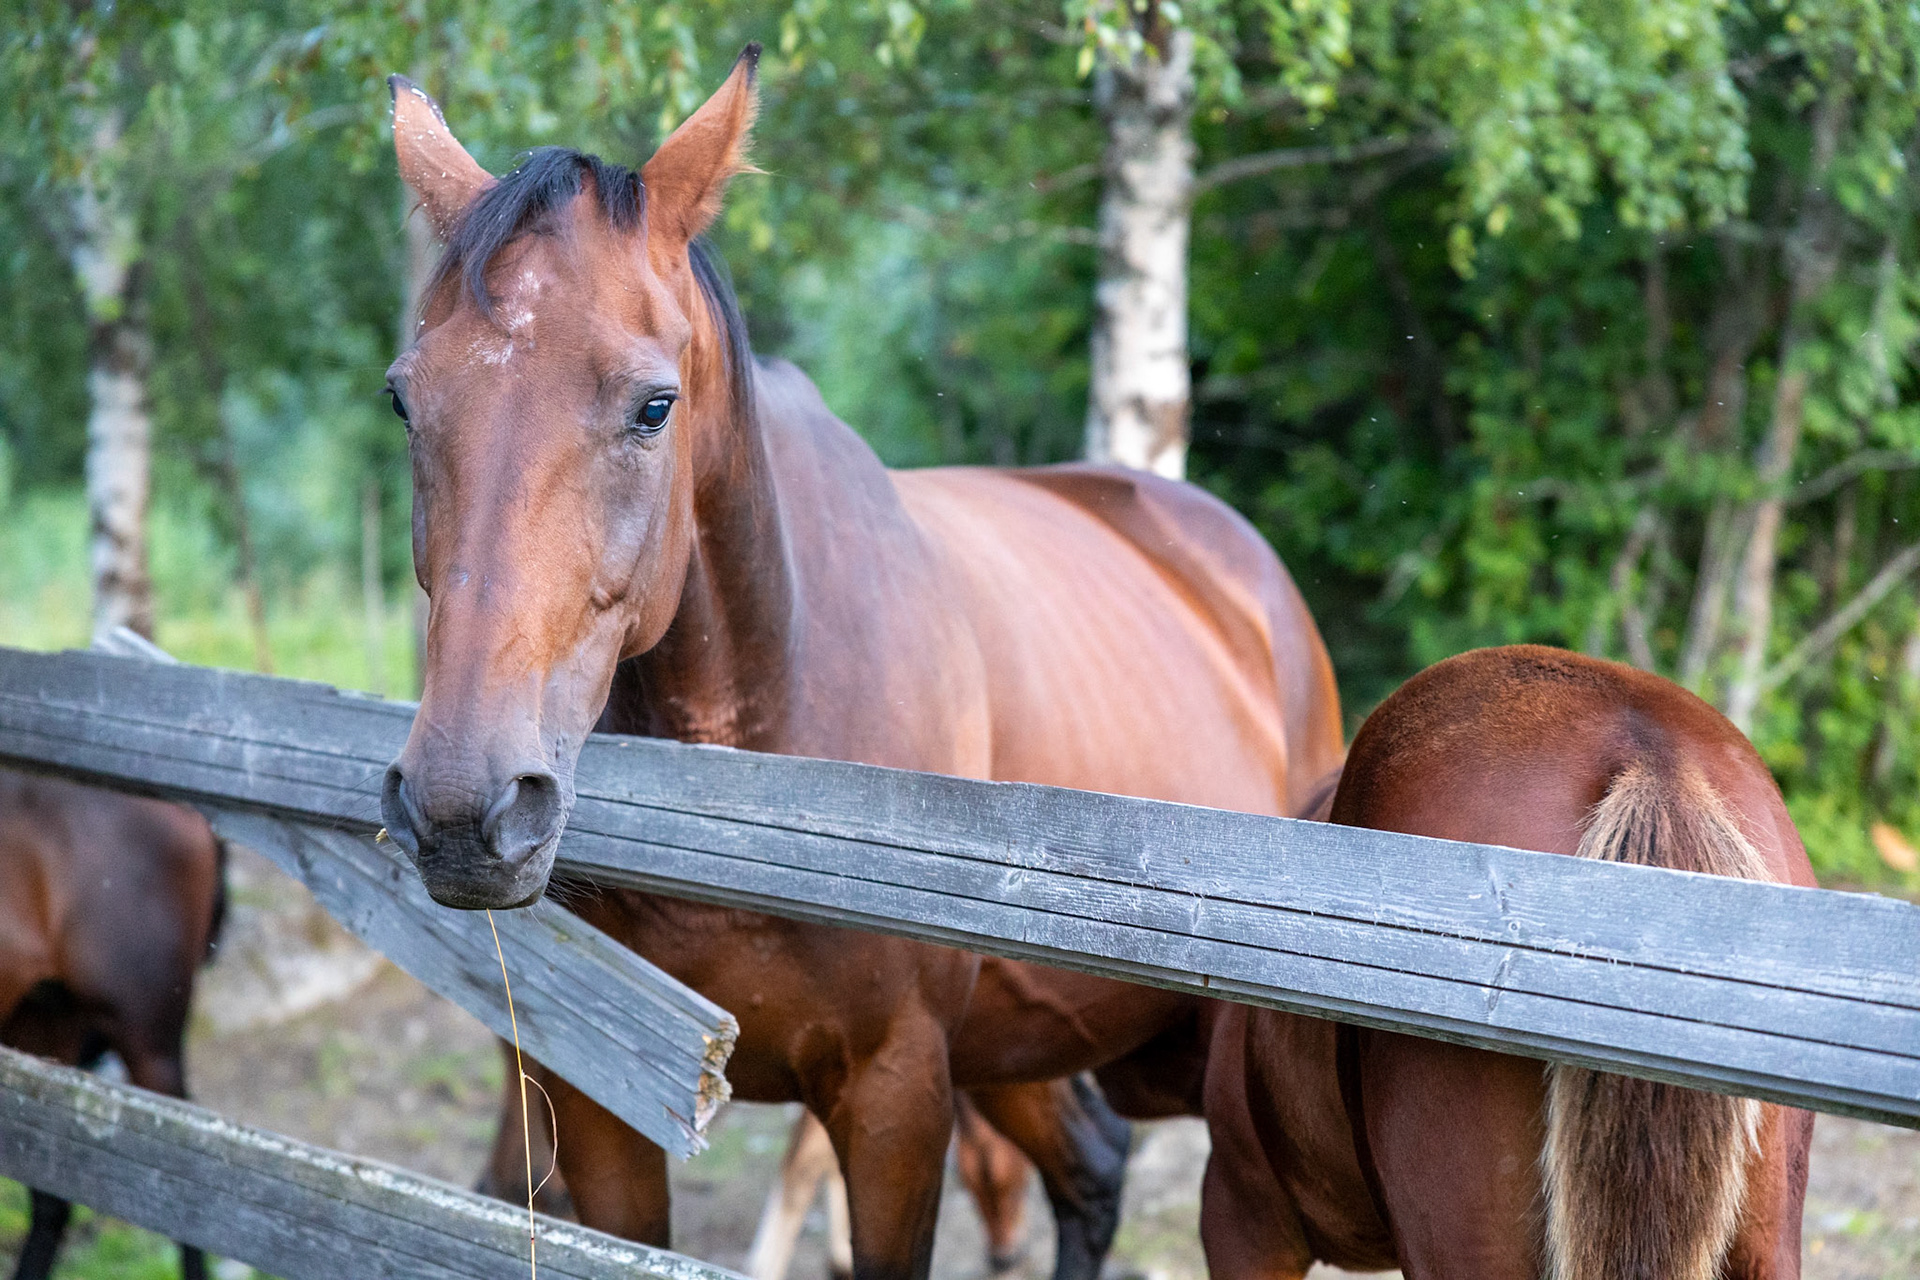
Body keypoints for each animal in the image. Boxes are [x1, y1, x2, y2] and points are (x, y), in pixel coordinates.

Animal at [377, 46, 1344, 1280]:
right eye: (406, 399)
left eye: (654, 405)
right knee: (1091, 1169)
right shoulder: (605, 1102)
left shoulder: (896, 1097)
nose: (466, 807)